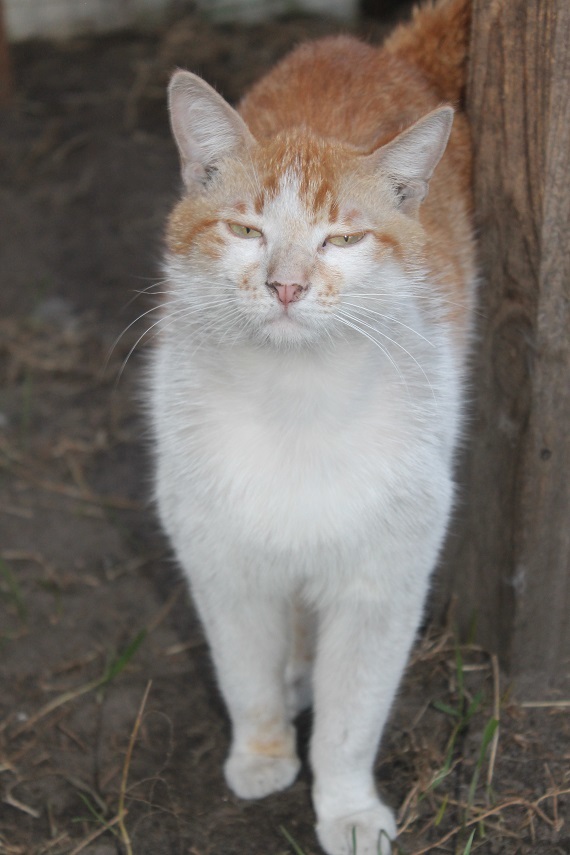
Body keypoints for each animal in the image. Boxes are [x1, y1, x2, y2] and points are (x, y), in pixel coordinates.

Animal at [149, 3, 472, 852]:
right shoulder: (222, 562)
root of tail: (363, 47)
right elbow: (245, 676)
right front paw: (263, 756)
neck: (294, 399)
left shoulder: (382, 582)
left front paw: (348, 808)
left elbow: (352, 717)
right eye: (246, 231)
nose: (287, 286)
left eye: (344, 239)